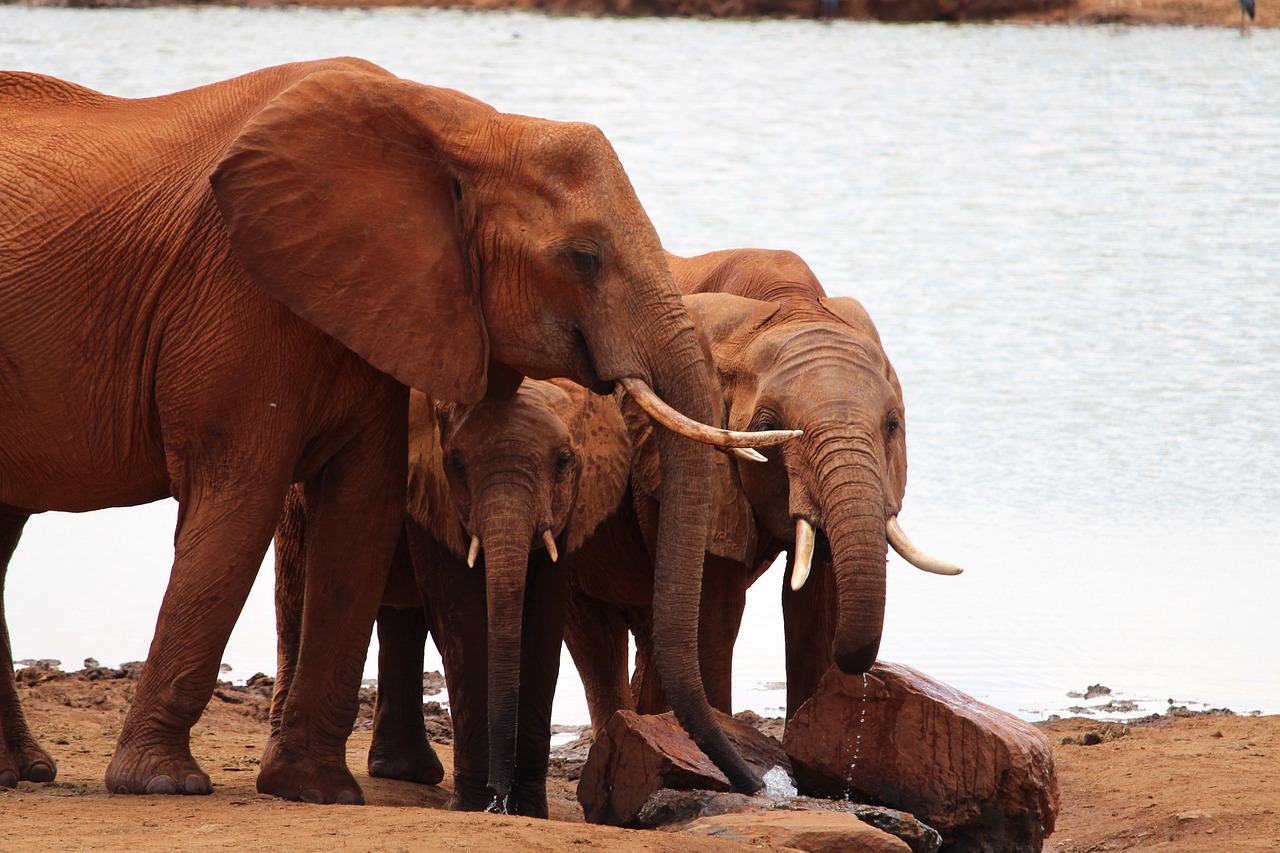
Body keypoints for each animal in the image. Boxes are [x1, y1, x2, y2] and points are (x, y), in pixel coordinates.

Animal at [275, 376, 629, 809]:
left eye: (564, 462)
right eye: (457, 464)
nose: (499, 798)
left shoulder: (570, 511)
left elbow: (544, 626)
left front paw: (527, 809)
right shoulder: (434, 492)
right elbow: (462, 620)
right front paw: (476, 805)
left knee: (403, 622)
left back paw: (407, 772)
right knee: (294, 597)